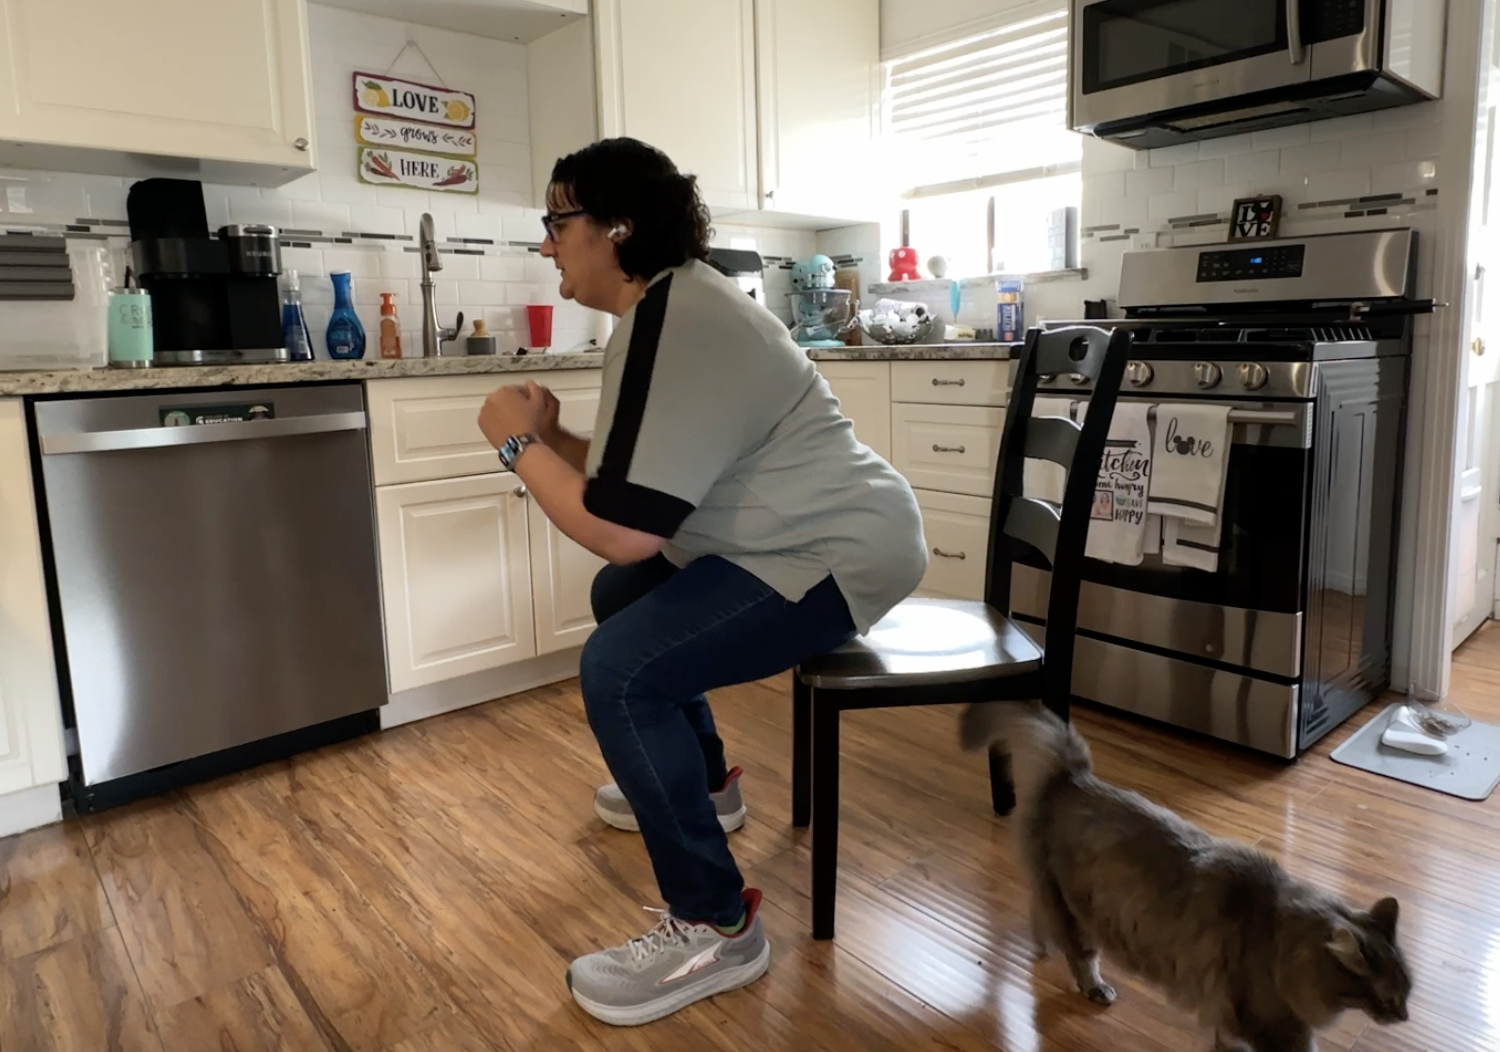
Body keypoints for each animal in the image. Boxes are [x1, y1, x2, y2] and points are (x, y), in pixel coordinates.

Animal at [960, 696, 1416, 1050]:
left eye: (1408, 993)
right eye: (1388, 999)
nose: (1406, 1017)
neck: (1280, 939)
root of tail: (1072, 777)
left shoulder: (1237, 1017)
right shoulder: (1271, 1024)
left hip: (1057, 893)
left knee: (1037, 911)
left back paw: (1040, 948)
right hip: (1079, 913)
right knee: (1079, 955)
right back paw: (1093, 987)